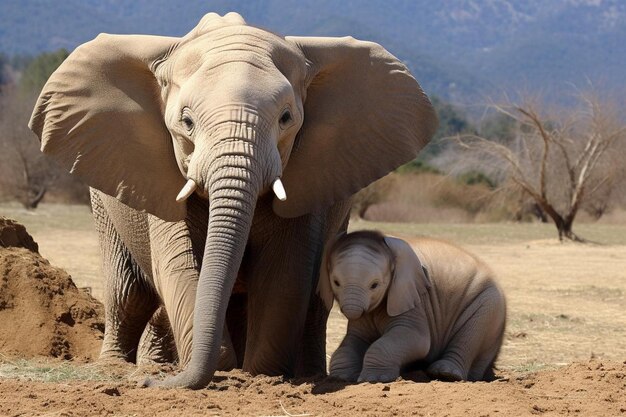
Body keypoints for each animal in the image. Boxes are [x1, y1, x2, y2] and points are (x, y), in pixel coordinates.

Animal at [29, 13, 436, 390]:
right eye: (187, 122)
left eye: (286, 118)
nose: (147, 386)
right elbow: (179, 266)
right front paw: (223, 367)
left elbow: (285, 273)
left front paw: (260, 374)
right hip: (104, 208)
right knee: (129, 293)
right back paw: (119, 369)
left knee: (313, 305)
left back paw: (308, 374)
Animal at [320, 229, 504, 382]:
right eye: (336, 282)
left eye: (374, 285)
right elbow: (354, 339)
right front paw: (342, 377)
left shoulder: (414, 300)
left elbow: (416, 338)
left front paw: (373, 379)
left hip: (487, 303)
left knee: (470, 336)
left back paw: (445, 374)